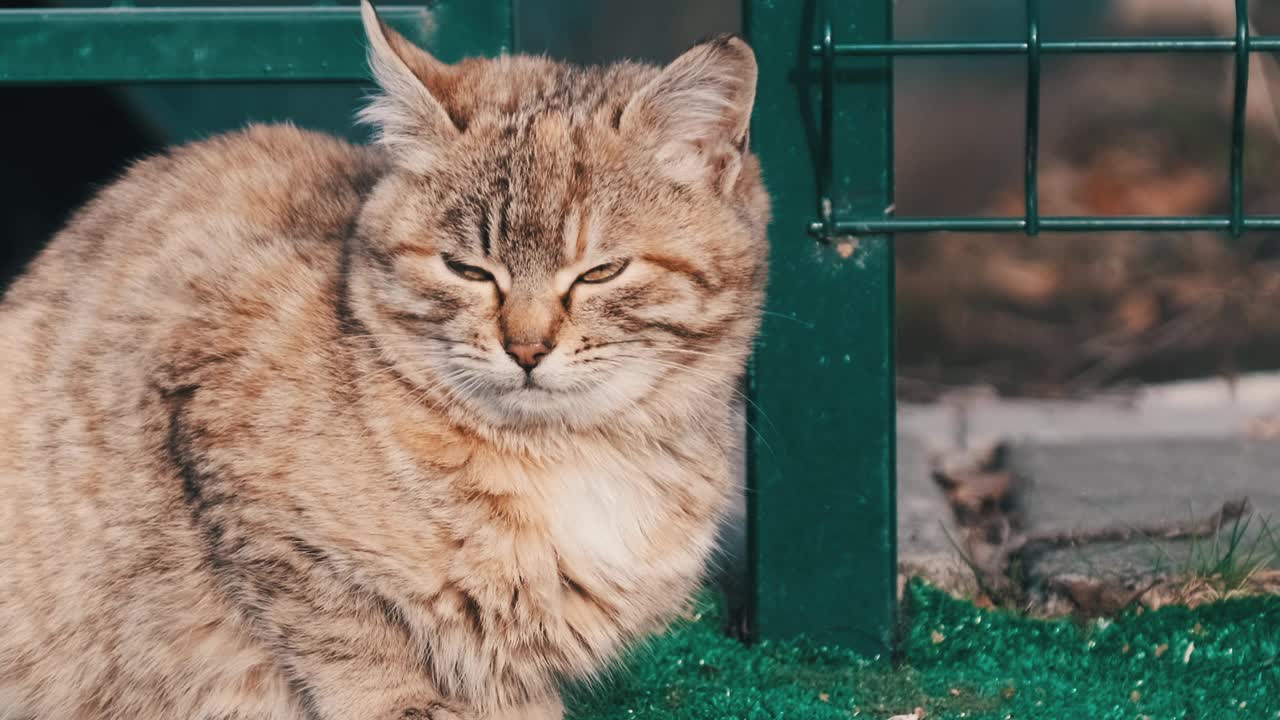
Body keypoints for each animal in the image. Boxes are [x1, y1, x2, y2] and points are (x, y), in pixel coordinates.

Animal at [0, 2, 762, 712]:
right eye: (468, 270)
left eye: (601, 272)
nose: (526, 348)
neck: (568, 451)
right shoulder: (232, 457)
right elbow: (354, 637)